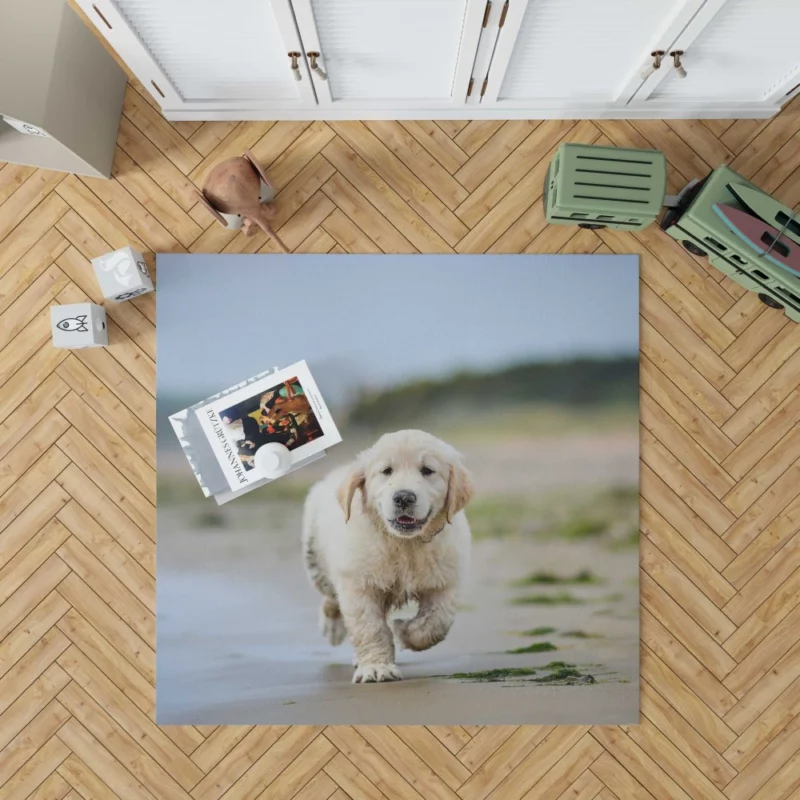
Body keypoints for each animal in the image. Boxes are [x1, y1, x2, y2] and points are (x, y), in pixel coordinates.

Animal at [304, 428, 472, 684]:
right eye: (386, 471)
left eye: (427, 470)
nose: (403, 497)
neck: (405, 544)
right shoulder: (359, 585)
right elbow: (370, 628)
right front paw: (376, 668)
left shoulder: (444, 581)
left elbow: (437, 622)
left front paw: (403, 631)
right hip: (318, 561)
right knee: (330, 596)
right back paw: (333, 626)